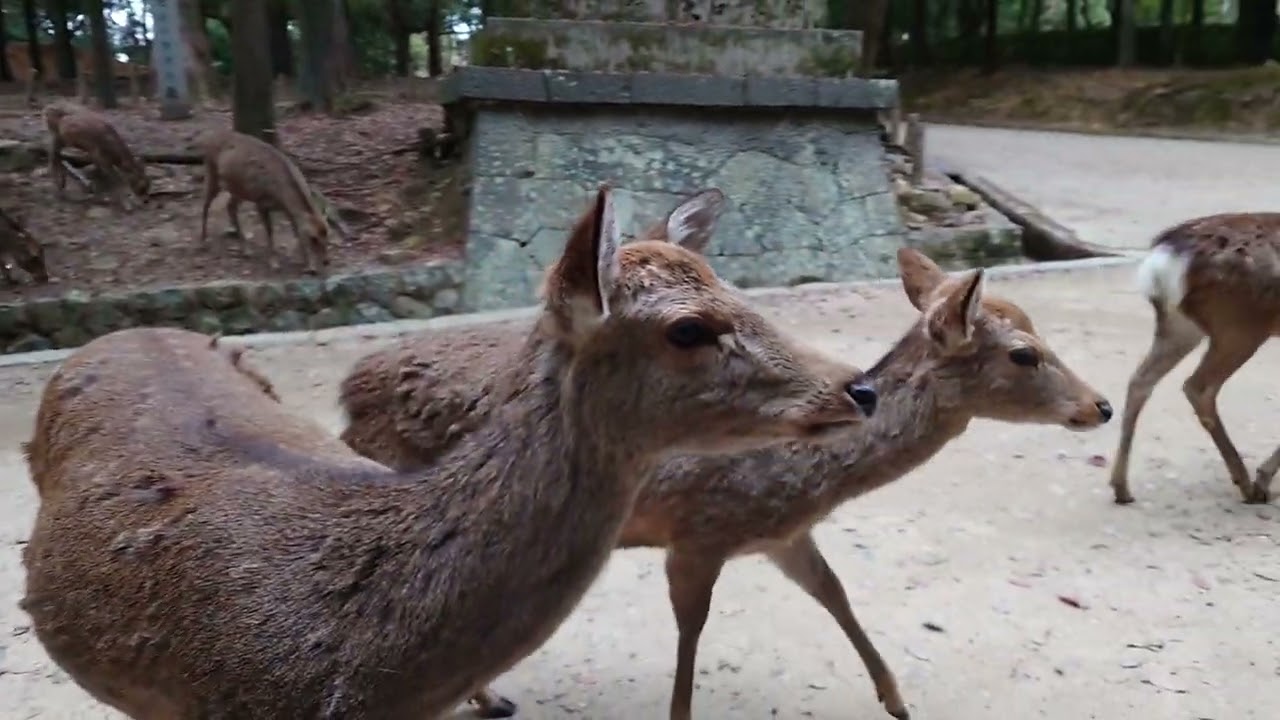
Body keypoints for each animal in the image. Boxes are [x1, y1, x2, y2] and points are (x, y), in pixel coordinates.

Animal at [199, 129, 331, 275]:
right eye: (313, 238)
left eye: (327, 235)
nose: (326, 261)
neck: (282, 195)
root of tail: (207, 139)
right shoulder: (261, 202)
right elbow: (270, 232)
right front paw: (274, 263)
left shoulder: (288, 210)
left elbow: (296, 232)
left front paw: (309, 265)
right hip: (212, 172)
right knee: (205, 204)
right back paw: (203, 242)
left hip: (239, 189)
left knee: (230, 206)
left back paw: (245, 250)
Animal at [339, 236, 1114, 720]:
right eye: (1024, 354)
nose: (1100, 406)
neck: (802, 479)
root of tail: (347, 396)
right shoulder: (698, 532)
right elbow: (693, 628)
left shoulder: (780, 536)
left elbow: (835, 594)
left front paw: (896, 699)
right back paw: (485, 694)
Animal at [1111, 212, 1280, 506]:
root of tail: (1163, 259)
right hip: (1239, 327)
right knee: (1199, 386)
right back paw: (1249, 485)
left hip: (1180, 324)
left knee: (1140, 380)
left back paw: (1121, 488)